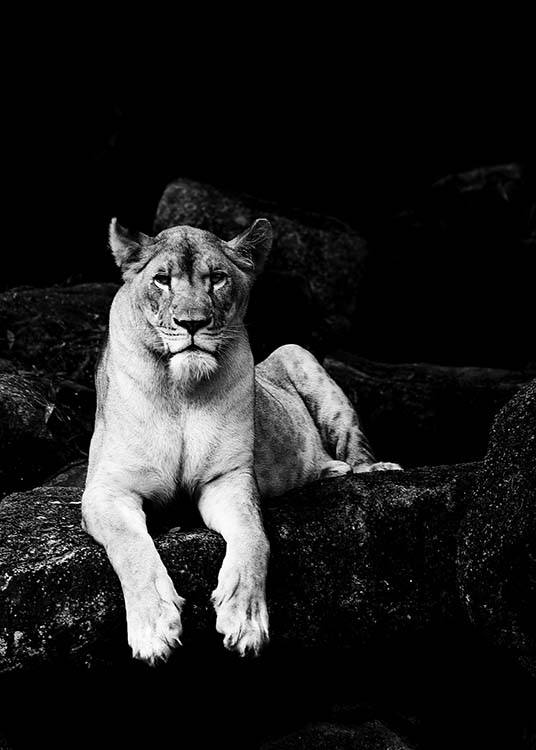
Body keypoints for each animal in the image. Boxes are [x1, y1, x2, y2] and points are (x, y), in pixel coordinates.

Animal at [81, 217, 401, 665]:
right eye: (162, 279)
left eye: (217, 278)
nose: (192, 323)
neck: (182, 390)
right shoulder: (107, 490)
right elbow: (131, 548)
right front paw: (155, 629)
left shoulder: (227, 479)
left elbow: (253, 538)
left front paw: (245, 620)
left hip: (296, 352)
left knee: (355, 447)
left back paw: (367, 468)